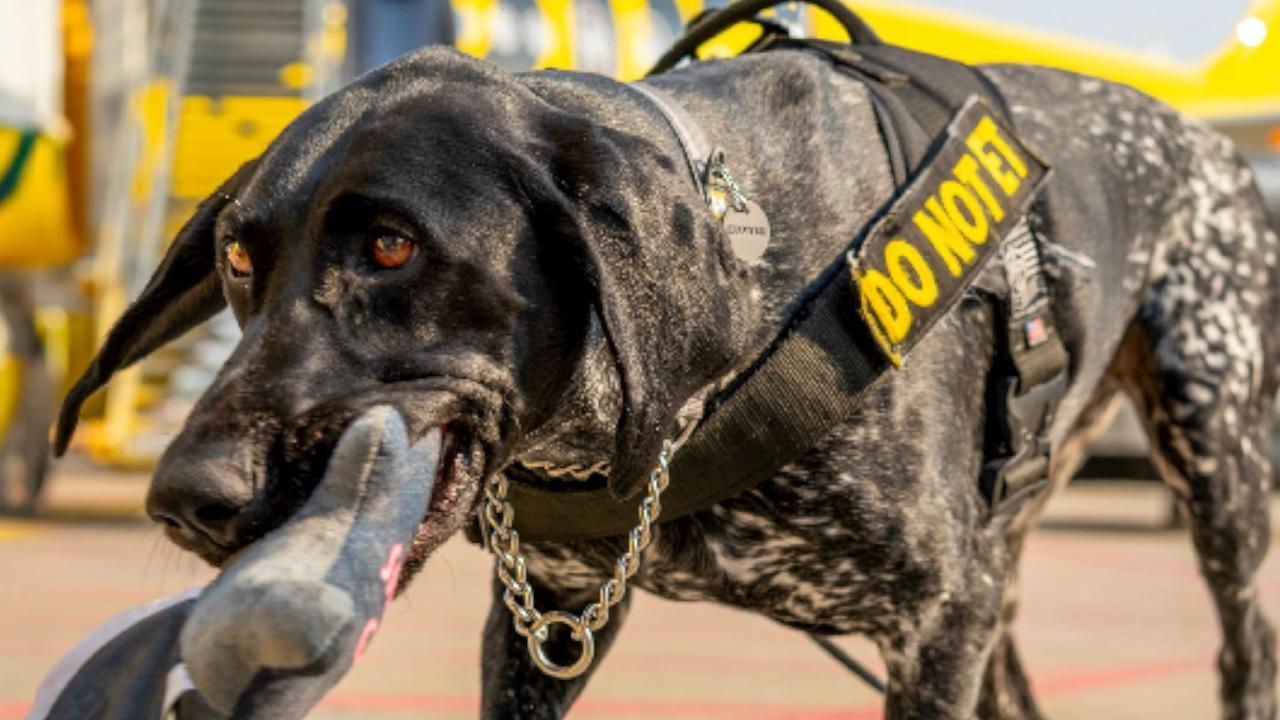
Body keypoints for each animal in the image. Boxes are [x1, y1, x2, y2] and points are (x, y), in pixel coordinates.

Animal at [62, 47, 1280, 712]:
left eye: (393, 248)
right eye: (236, 260)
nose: (188, 497)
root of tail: (1200, 135)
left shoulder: (940, 623)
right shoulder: (546, 624)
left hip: (1215, 458)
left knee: (1243, 644)